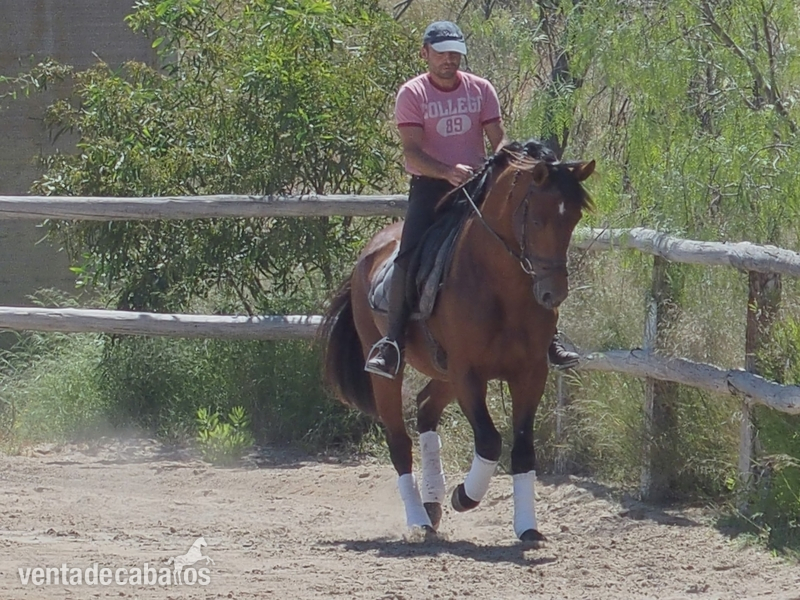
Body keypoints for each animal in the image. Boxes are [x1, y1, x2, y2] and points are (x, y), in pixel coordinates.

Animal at [320, 140, 594, 543]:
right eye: (537, 220)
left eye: (573, 219)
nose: (552, 294)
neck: (500, 287)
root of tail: (369, 252)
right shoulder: (469, 374)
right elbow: (490, 441)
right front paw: (464, 496)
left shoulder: (530, 373)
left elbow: (523, 449)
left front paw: (527, 527)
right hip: (393, 373)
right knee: (399, 441)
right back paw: (418, 518)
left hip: (444, 371)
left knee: (425, 409)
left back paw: (432, 505)